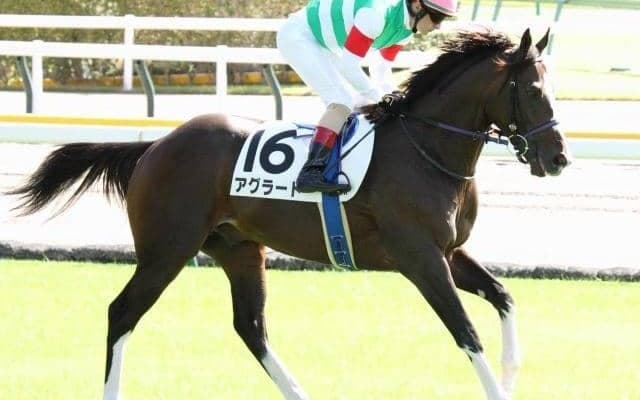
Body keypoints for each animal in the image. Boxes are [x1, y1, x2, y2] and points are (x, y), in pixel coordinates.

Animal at [7, 28, 569, 400]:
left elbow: (503, 295)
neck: (426, 148)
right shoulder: (420, 257)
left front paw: (512, 370)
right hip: (167, 250)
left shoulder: (449, 252)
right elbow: (466, 330)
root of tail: (155, 146)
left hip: (238, 249)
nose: (558, 157)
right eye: (533, 90)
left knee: (250, 326)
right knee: (122, 313)